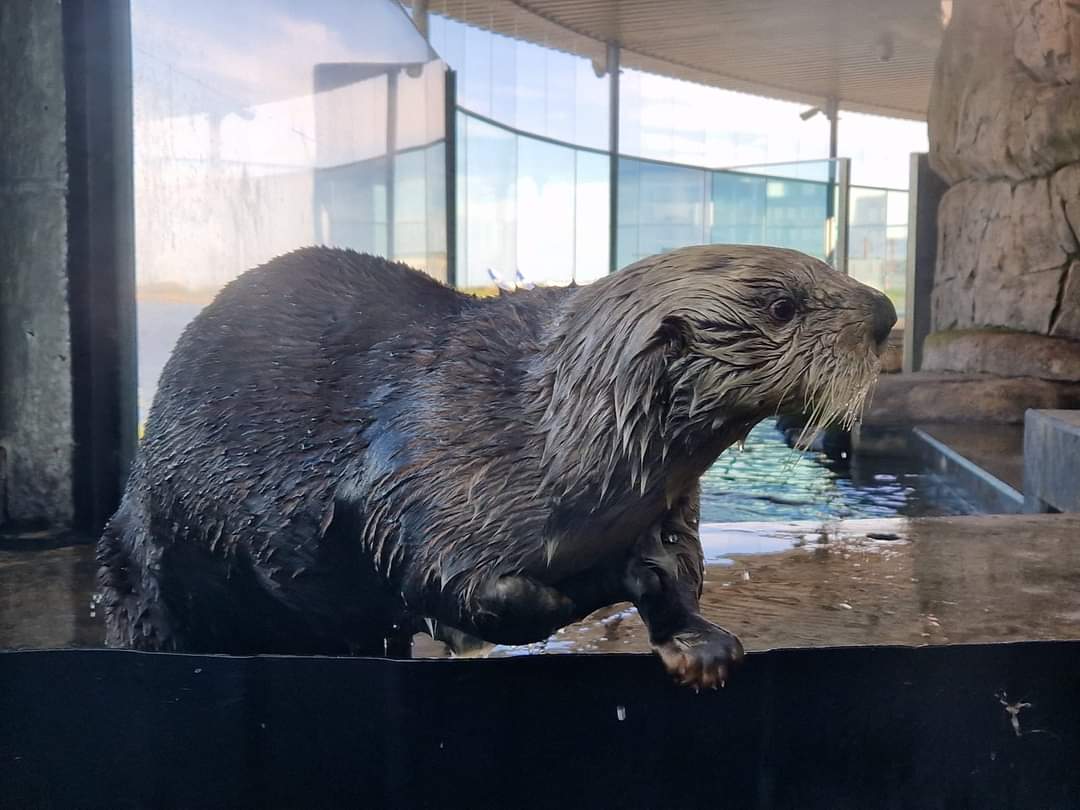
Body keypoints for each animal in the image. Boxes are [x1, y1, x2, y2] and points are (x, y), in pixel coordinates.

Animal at [98, 245, 895, 689]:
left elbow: (680, 570)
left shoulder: (668, 509)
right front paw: (591, 588)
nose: (886, 312)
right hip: (138, 557)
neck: (548, 430)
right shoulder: (421, 477)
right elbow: (461, 588)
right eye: (783, 306)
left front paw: (696, 641)